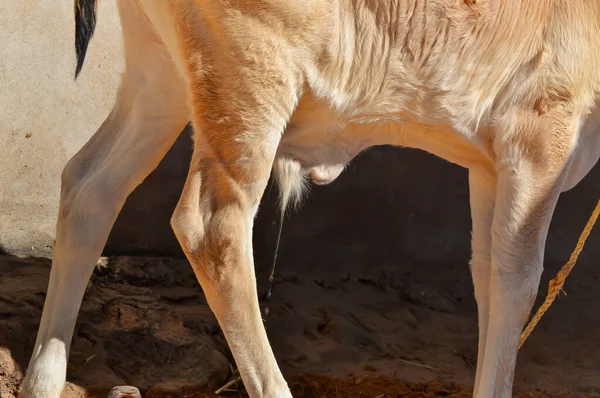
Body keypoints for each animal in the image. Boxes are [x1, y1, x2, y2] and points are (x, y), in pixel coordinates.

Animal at [18, 0, 600, 398]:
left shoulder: (489, 162)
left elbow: (487, 276)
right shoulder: (541, 134)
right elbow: (517, 284)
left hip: (160, 75)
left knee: (90, 185)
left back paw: (42, 379)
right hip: (248, 83)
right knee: (211, 227)